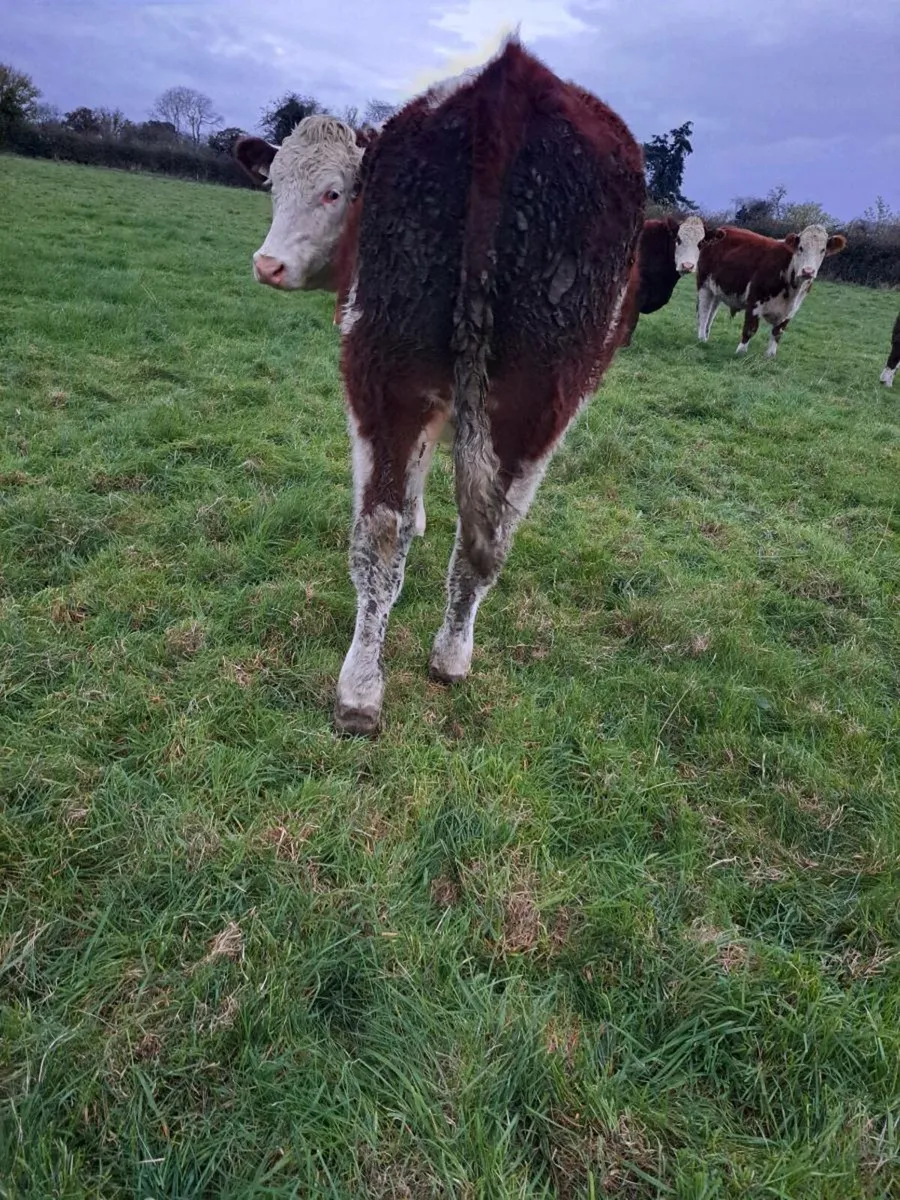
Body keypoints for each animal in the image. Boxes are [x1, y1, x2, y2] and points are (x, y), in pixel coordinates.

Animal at [234, 39, 645, 736]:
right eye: (273, 185)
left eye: (333, 193)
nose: (269, 264)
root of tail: (509, 90)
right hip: (531, 399)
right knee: (465, 537)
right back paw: (433, 662)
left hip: (395, 374)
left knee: (394, 530)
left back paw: (371, 683)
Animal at [696, 224, 846, 357]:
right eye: (801, 248)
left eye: (822, 250)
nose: (808, 271)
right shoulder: (754, 302)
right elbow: (750, 328)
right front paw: (740, 352)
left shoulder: (791, 311)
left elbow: (777, 333)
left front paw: (770, 356)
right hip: (704, 284)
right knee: (704, 311)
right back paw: (702, 338)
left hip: (717, 291)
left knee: (711, 312)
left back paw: (707, 335)